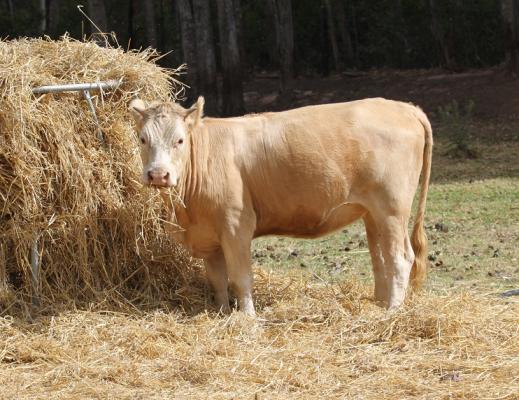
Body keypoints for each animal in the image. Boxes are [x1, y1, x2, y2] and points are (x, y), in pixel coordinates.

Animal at [130, 96, 434, 316]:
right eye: (143, 139)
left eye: (179, 140)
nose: (158, 174)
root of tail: (404, 107)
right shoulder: (210, 235)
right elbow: (217, 280)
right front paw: (222, 314)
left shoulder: (236, 225)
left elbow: (240, 277)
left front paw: (248, 318)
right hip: (373, 213)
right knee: (380, 259)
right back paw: (379, 306)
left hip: (392, 209)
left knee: (400, 258)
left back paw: (392, 312)